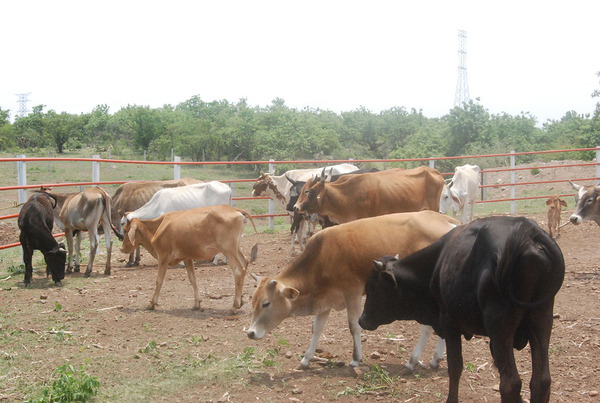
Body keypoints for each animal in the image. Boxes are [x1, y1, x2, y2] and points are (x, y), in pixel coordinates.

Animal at [121, 205, 258, 312]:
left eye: (125, 230)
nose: (122, 249)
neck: (157, 228)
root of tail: (233, 208)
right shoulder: (187, 258)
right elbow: (193, 279)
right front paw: (197, 304)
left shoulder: (163, 258)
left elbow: (159, 281)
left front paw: (151, 304)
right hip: (235, 249)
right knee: (245, 262)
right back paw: (241, 301)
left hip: (228, 250)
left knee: (238, 271)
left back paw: (235, 305)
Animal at [247, 211, 460, 370]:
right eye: (253, 302)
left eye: (266, 303)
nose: (250, 333)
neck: (321, 257)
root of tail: (450, 223)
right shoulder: (326, 300)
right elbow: (317, 328)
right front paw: (307, 358)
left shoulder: (352, 293)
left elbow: (354, 325)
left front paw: (356, 358)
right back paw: (435, 358)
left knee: (428, 326)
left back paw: (413, 360)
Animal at [358, 218, 564, 403]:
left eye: (371, 288)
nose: (362, 320)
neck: (435, 265)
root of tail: (526, 232)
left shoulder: (449, 323)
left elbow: (455, 367)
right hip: (541, 319)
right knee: (541, 381)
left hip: (500, 325)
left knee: (510, 383)